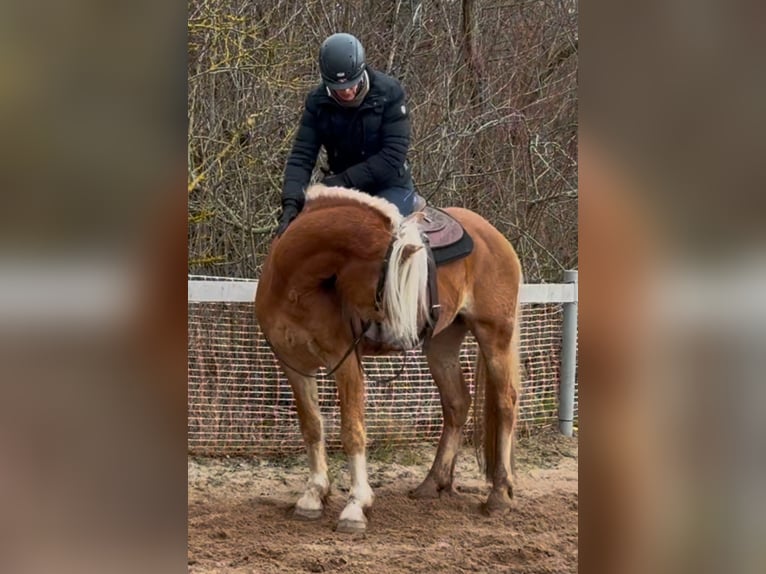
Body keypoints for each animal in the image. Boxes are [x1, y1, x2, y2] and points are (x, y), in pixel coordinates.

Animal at [255, 184, 524, 536]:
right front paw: (313, 495)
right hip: (442, 344)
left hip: (495, 334)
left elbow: (352, 430)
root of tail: (495, 236)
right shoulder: (293, 364)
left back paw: (499, 495)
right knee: (457, 403)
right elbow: (312, 426)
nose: (406, 328)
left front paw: (356, 505)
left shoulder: (345, 361)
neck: (295, 285)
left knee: (506, 403)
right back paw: (432, 484)